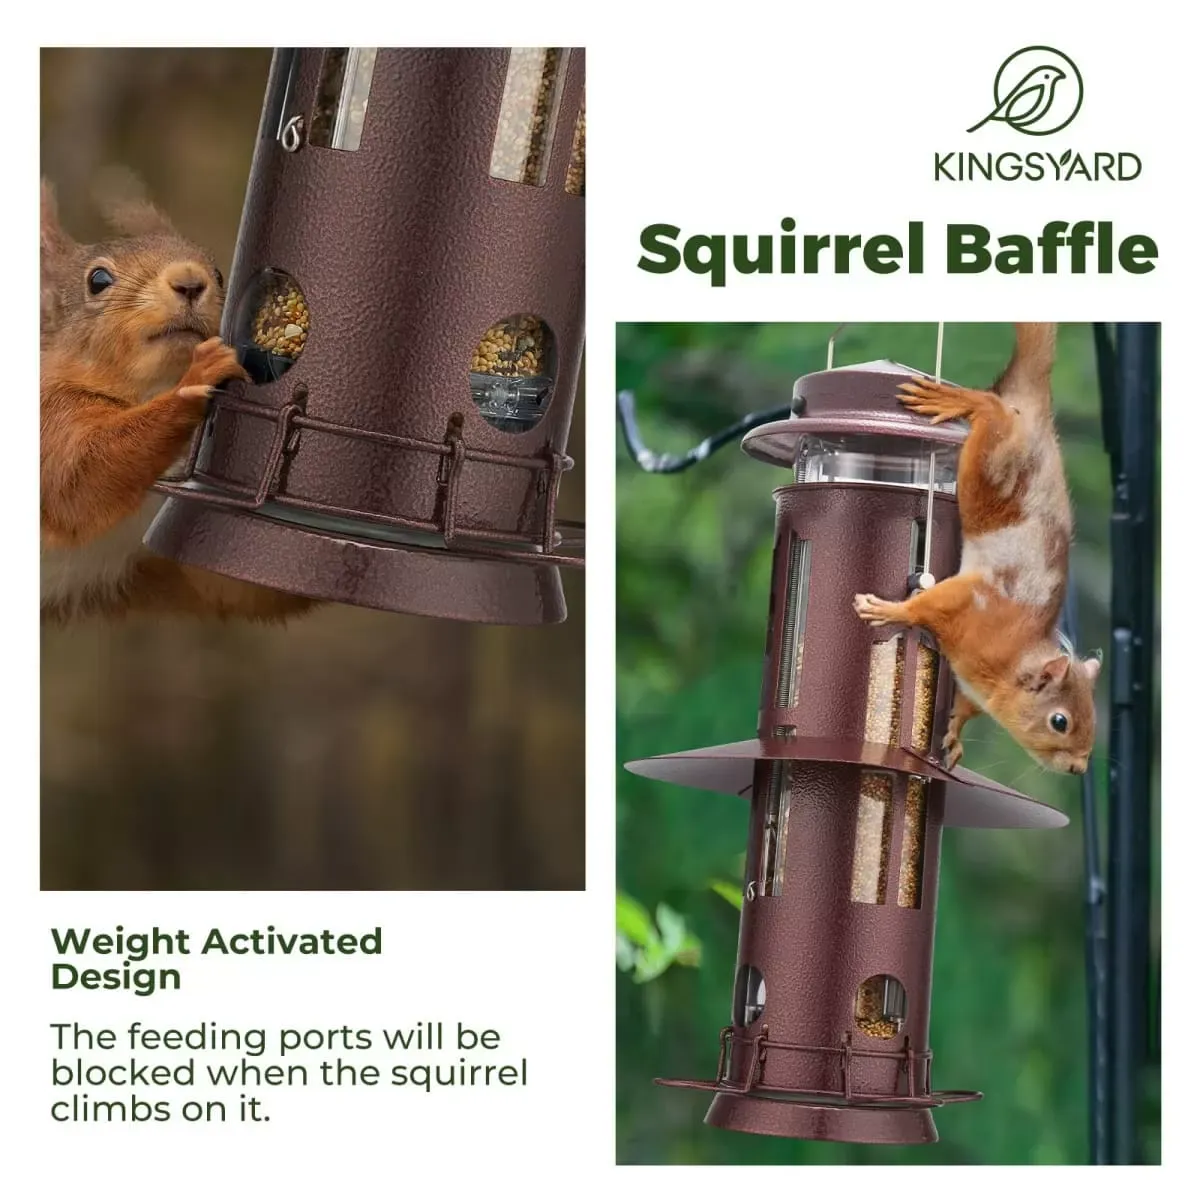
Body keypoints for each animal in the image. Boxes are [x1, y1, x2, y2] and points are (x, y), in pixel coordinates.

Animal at [40, 179, 312, 624]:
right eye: (97, 280)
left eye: (219, 273)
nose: (190, 281)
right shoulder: (48, 419)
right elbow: (79, 477)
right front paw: (199, 376)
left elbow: (236, 586)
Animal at [852, 322, 1101, 775]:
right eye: (1060, 721)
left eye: (1092, 715)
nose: (1079, 768)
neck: (1014, 659)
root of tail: (1037, 409)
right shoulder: (971, 603)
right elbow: (927, 606)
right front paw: (892, 611)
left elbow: (966, 706)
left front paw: (954, 734)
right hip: (992, 465)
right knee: (993, 408)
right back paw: (963, 402)